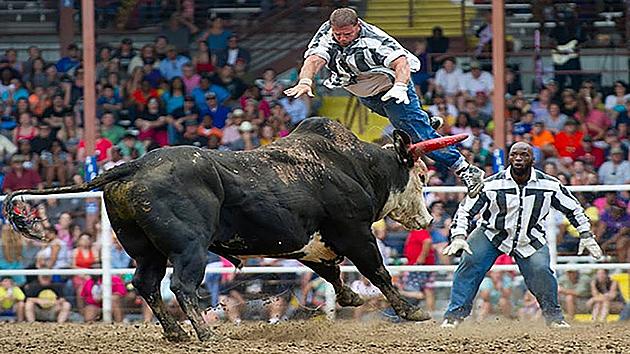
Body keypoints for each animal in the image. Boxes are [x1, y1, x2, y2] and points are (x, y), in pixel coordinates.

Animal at [4, 117, 466, 342]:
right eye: (422, 174)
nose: (428, 220)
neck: (353, 166)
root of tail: (134, 165)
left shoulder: (310, 243)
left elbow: (331, 270)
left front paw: (350, 297)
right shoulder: (355, 232)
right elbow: (377, 271)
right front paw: (410, 310)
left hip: (146, 250)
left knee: (146, 283)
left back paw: (176, 332)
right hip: (189, 248)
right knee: (182, 286)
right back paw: (204, 332)